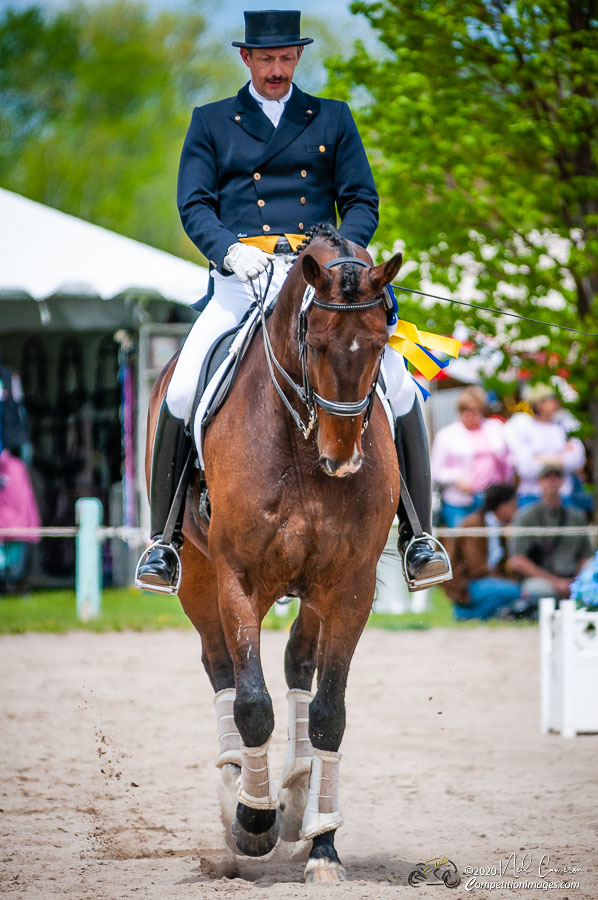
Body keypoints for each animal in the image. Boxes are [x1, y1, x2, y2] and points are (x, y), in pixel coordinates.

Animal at [148, 225, 406, 884]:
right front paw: (252, 820)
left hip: (312, 592)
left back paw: (294, 794)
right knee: (221, 670)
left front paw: (322, 844)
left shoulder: (348, 586)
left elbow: (329, 712)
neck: (298, 440)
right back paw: (240, 787)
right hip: (198, 578)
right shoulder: (237, 579)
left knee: (296, 664)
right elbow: (251, 705)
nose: (343, 458)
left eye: (380, 342)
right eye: (313, 342)